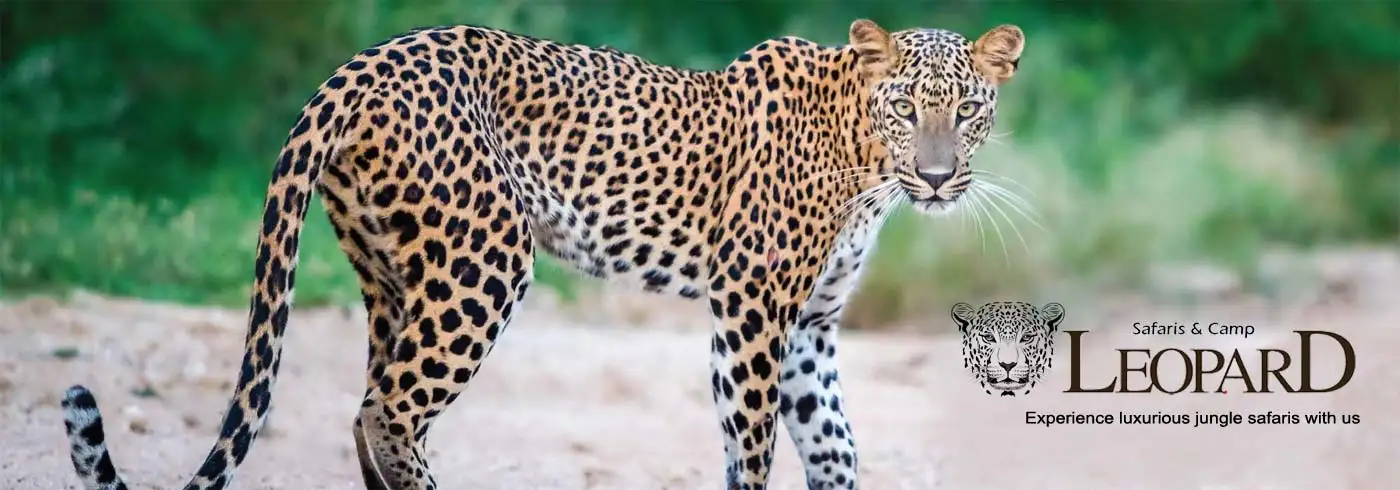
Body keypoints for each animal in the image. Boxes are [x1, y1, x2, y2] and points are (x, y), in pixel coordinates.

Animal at [58, 18, 1026, 490]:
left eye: (968, 110)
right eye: (905, 107)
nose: (938, 178)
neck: (867, 165)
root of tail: (356, 66)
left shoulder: (813, 327)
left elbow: (834, 447)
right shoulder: (751, 309)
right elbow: (749, 447)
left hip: (390, 272)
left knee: (370, 403)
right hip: (484, 259)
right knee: (389, 408)